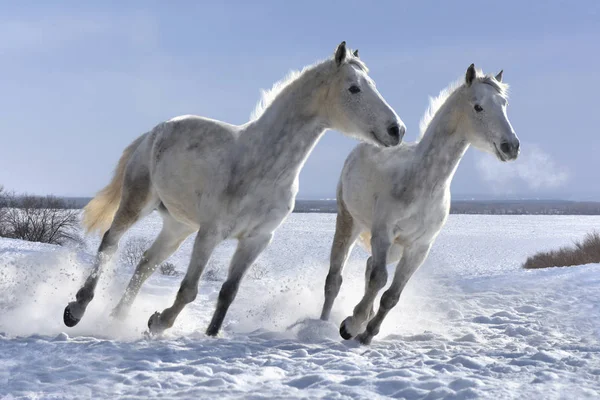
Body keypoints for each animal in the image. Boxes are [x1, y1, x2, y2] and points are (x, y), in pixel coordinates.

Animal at [64, 42, 408, 336]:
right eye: (354, 88)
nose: (397, 130)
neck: (263, 165)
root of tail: (155, 132)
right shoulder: (211, 233)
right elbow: (189, 290)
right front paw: (158, 322)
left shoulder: (256, 239)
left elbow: (229, 292)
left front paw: (208, 334)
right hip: (138, 202)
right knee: (110, 244)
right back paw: (75, 310)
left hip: (178, 225)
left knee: (146, 262)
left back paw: (117, 318)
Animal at [318, 65, 520, 344]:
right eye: (478, 107)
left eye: (504, 104)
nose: (511, 146)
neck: (423, 184)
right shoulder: (383, 234)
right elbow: (379, 280)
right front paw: (350, 326)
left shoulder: (419, 248)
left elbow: (392, 295)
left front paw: (367, 333)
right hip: (350, 222)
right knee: (335, 279)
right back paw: (322, 324)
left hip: (394, 248)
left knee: (369, 267)